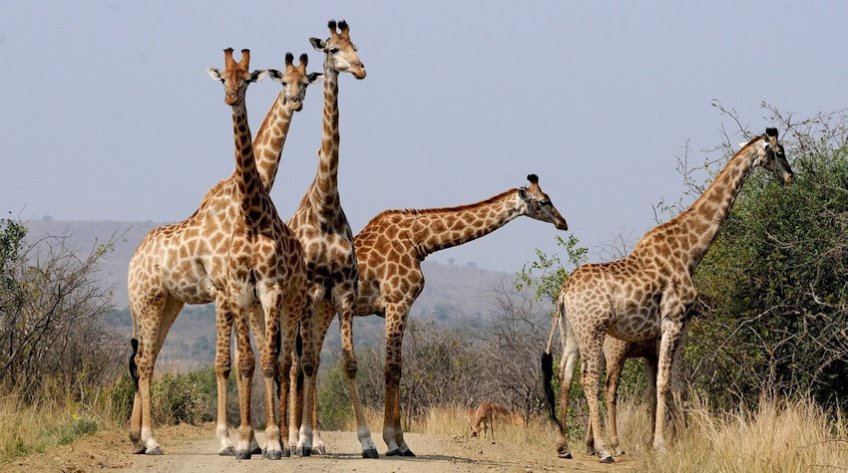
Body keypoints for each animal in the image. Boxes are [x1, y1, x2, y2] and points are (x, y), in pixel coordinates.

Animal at [126, 49, 313, 458]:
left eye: (305, 82)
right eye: (283, 81)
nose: (296, 101)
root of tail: (133, 260)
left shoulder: (240, 293)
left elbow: (244, 359)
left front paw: (253, 441)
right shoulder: (223, 291)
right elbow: (225, 362)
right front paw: (232, 440)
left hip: (169, 302)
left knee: (148, 355)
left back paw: (137, 437)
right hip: (147, 299)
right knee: (144, 359)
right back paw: (150, 440)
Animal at [352, 174, 568, 456]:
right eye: (544, 201)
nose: (563, 222)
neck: (418, 241)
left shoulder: (396, 306)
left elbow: (395, 369)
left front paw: (399, 442)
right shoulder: (397, 302)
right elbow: (393, 370)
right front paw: (395, 443)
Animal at [542, 128, 793, 463]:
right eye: (778, 152)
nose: (790, 176)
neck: (690, 252)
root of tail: (565, 290)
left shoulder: (672, 328)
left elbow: (671, 383)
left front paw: (672, 440)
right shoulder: (674, 319)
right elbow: (663, 383)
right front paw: (661, 444)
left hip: (570, 331)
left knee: (565, 373)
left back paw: (563, 445)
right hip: (593, 329)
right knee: (590, 377)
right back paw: (604, 449)